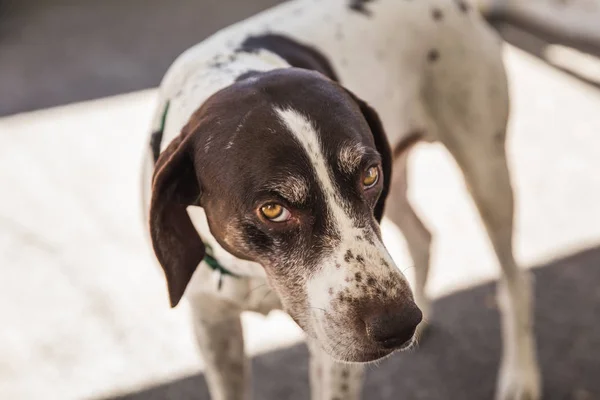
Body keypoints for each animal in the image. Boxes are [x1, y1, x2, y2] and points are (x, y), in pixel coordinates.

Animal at [143, 0, 540, 400]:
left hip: (485, 173)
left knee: (515, 280)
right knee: (422, 236)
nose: (399, 324)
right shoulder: (212, 325)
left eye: (368, 175)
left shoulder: (332, 352)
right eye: (272, 209)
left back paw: (520, 376)